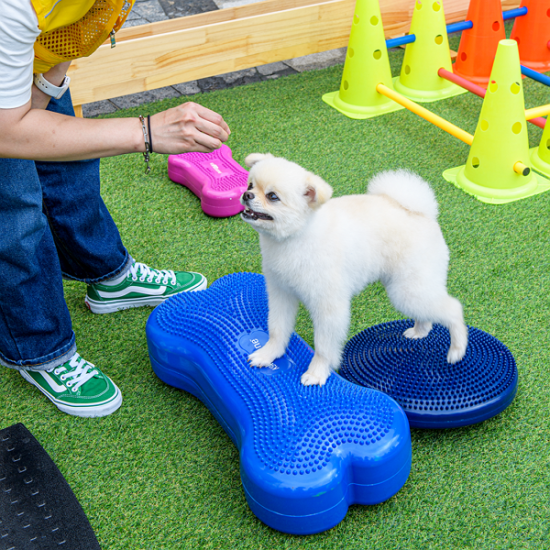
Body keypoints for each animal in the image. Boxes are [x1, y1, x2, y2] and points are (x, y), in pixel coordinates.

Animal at [239, 154, 468, 388]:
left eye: (272, 196)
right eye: (250, 185)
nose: (246, 195)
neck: (295, 238)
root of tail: (423, 213)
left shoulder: (329, 306)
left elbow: (323, 345)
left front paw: (317, 372)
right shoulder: (281, 293)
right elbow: (277, 329)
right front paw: (268, 355)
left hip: (407, 290)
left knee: (453, 308)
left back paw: (457, 349)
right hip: (410, 289)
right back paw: (420, 331)